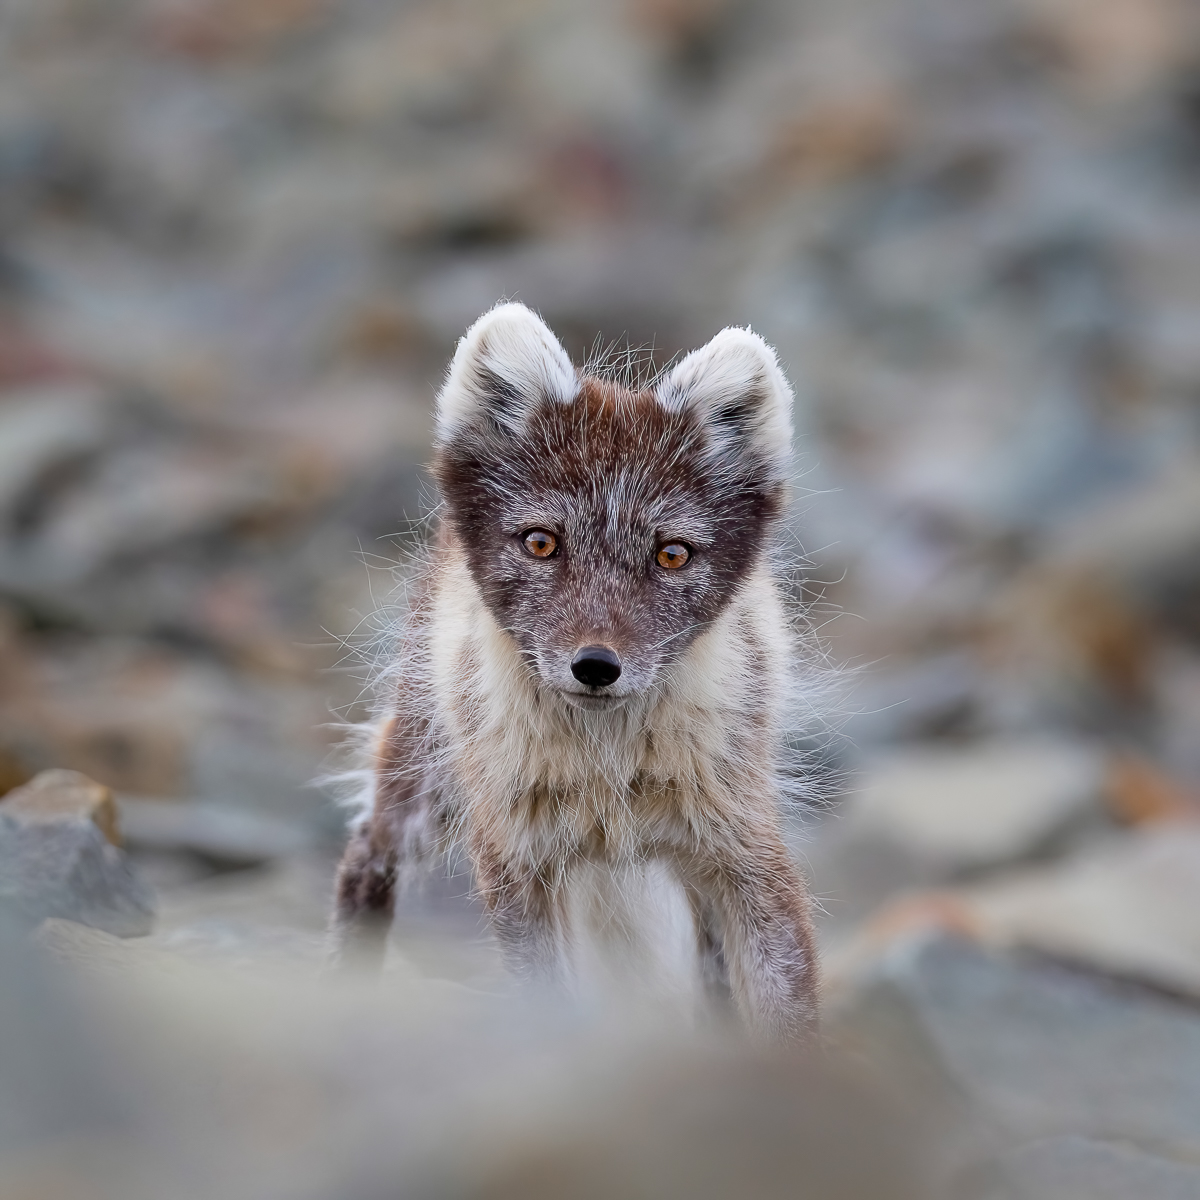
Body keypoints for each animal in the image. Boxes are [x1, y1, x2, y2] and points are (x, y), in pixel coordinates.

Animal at [333, 302, 820, 1041]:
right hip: (425, 777)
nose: (595, 666)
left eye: (672, 554)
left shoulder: (745, 850)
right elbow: (549, 994)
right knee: (366, 849)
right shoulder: (517, 862)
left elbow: (786, 1005)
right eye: (542, 543)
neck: (608, 767)